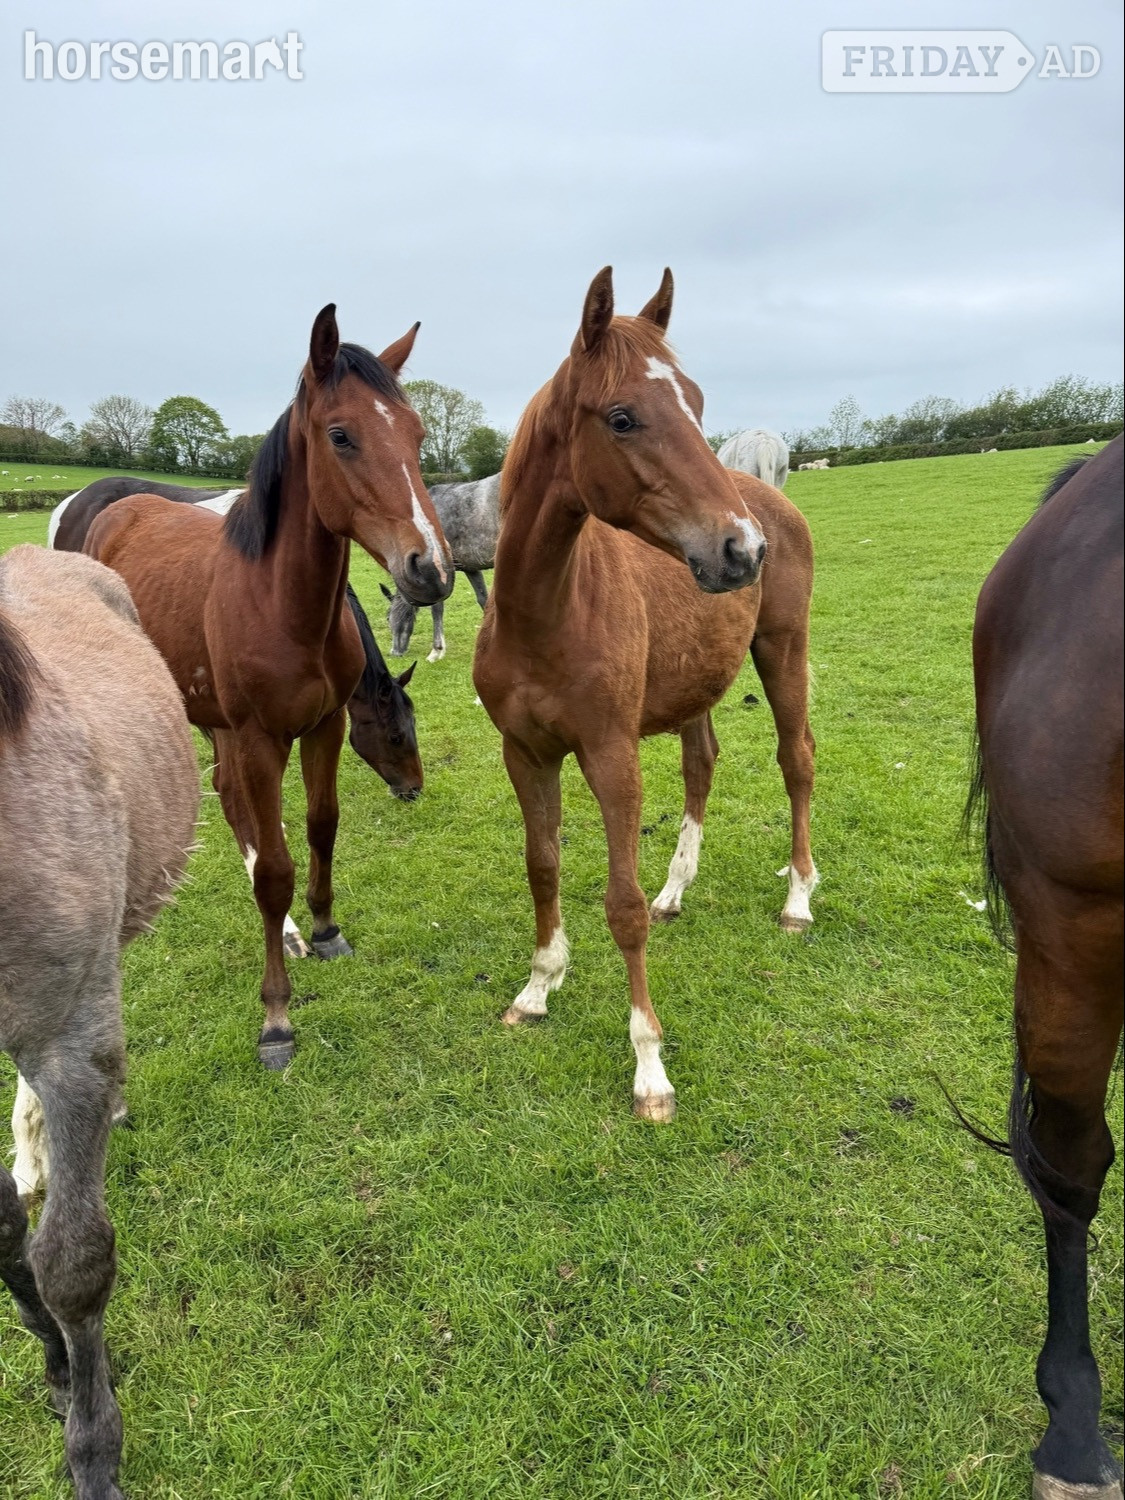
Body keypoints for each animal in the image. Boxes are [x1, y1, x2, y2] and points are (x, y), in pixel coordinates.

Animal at [381, 471, 502, 660]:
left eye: (388, 617)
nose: (394, 652)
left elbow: (437, 608)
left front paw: (436, 650)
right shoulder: (471, 568)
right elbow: (484, 599)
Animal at [472, 267, 817, 1121]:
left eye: (694, 402)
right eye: (622, 417)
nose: (741, 549)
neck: (546, 613)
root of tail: (770, 500)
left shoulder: (609, 755)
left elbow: (620, 907)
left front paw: (648, 1065)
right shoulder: (525, 752)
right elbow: (542, 865)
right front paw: (537, 988)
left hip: (782, 651)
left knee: (796, 759)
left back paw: (798, 899)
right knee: (702, 763)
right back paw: (676, 888)